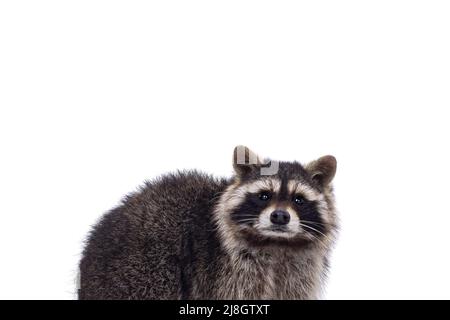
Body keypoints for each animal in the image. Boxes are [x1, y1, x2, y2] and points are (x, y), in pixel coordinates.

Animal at [78, 146, 338, 298]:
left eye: (298, 199)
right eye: (264, 195)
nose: (280, 216)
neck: (276, 244)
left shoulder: (298, 274)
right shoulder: (226, 272)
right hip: (140, 269)